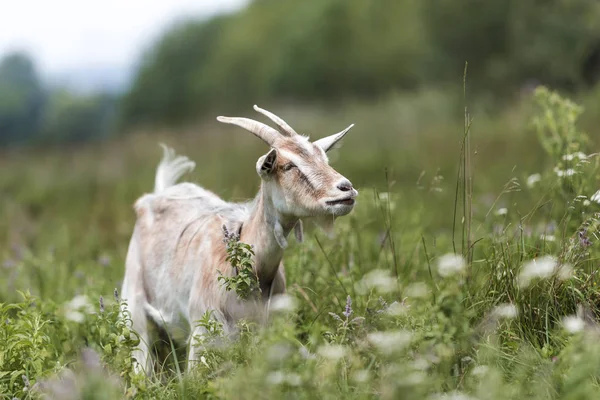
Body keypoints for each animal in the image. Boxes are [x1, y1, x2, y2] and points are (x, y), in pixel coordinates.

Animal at [121, 104, 356, 374]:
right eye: (288, 166)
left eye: (324, 159)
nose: (346, 188)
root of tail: (158, 193)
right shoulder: (202, 329)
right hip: (134, 304)